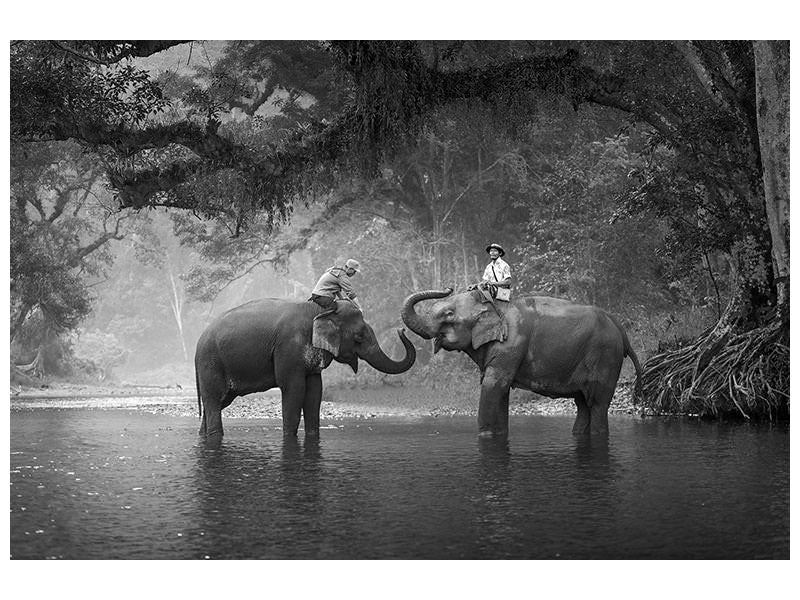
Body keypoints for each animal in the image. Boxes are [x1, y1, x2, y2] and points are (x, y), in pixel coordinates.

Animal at [194, 298, 415, 442]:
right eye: (359, 337)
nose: (401, 330)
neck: (319, 310)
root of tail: (198, 343)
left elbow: (315, 392)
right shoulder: (289, 348)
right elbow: (294, 389)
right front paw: (289, 437)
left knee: (218, 402)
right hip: (211, 363)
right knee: (214, 400)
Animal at [401, 288, 642, 437]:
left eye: (449, 314)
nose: (448, 287)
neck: (494, 305)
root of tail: (619, 327)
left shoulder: (511, 344)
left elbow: (493, 386)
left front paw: (485, 435)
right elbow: (501, 391)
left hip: (605, 356)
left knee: (598, 404)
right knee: (582, 404)